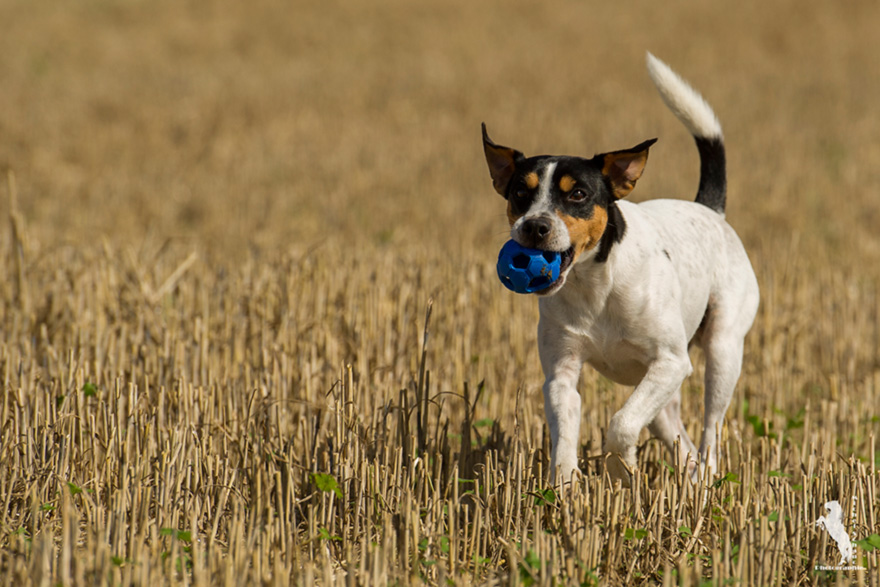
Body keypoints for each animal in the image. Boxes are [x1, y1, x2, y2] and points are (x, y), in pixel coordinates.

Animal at [482, 52, 756, 484]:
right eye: (520, 192)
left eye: (578, 193)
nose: (534, 227)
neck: (595, 286)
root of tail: (710, 209)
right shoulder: (561, 375)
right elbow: (565, 436)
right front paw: (563, 488)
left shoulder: (671, 361)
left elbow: (621, 423)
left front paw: (619, 467)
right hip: (664, 394)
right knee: (678, 437)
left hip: (721, 351)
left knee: (710, 429)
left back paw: (707, 476)